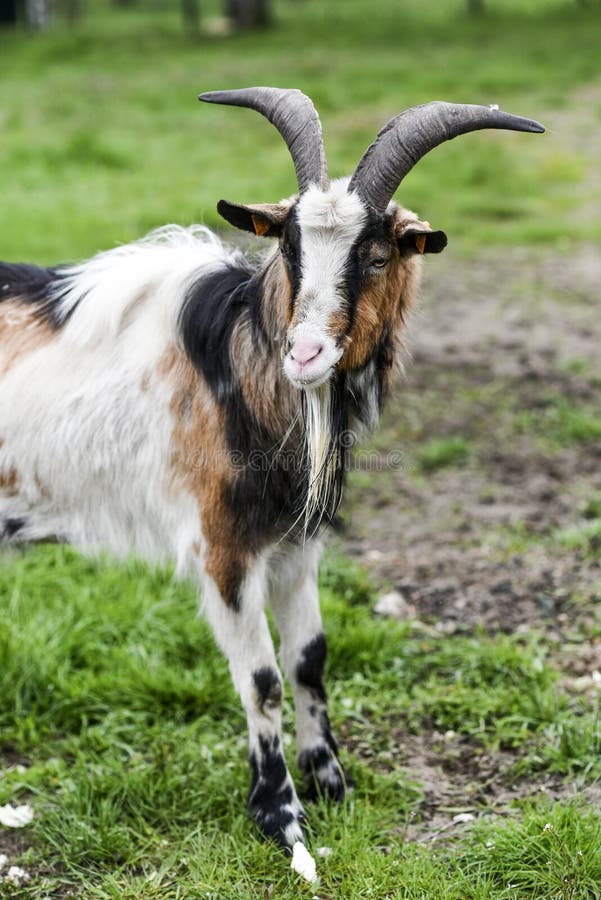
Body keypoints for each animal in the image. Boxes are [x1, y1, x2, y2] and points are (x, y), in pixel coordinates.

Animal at [0, 88, 543, 848]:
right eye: (288, 247)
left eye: (378, 256)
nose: (306, 354)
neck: (239, 364)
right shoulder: (223, 547)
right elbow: (260, 678)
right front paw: (280, 815)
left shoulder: (295, 542)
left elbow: (308, 658)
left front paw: (331, 784)